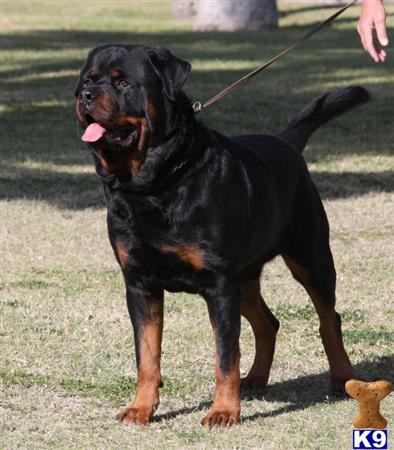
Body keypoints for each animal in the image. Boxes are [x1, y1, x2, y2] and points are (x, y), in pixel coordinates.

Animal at [74, 45, 370, 428]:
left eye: (123, 82)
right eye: (87, 80)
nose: (85, 96)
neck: (153, 184)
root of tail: (285, 141)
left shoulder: (219, 285)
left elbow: (225, 355)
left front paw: (224, 411)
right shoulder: (140, 284)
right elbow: (147, 355)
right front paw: (141, 407)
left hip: (310, 258)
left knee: (328, 319)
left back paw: (342, 378)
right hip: (244, 278)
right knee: (267, 323)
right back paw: (256, 379)